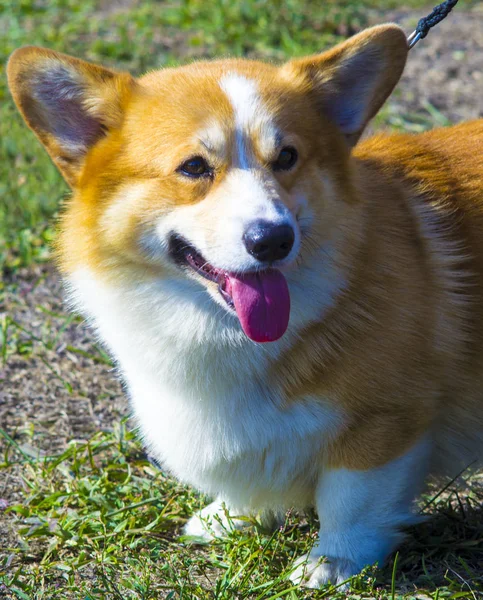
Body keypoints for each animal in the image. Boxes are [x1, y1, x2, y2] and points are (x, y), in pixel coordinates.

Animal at [8, 24, 483, 584]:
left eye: (287, 158)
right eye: (193, 167)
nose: (274, 239)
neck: (215, 325)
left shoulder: (388, 419)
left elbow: (352, 497)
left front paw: (331, 563)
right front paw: (230, 516)